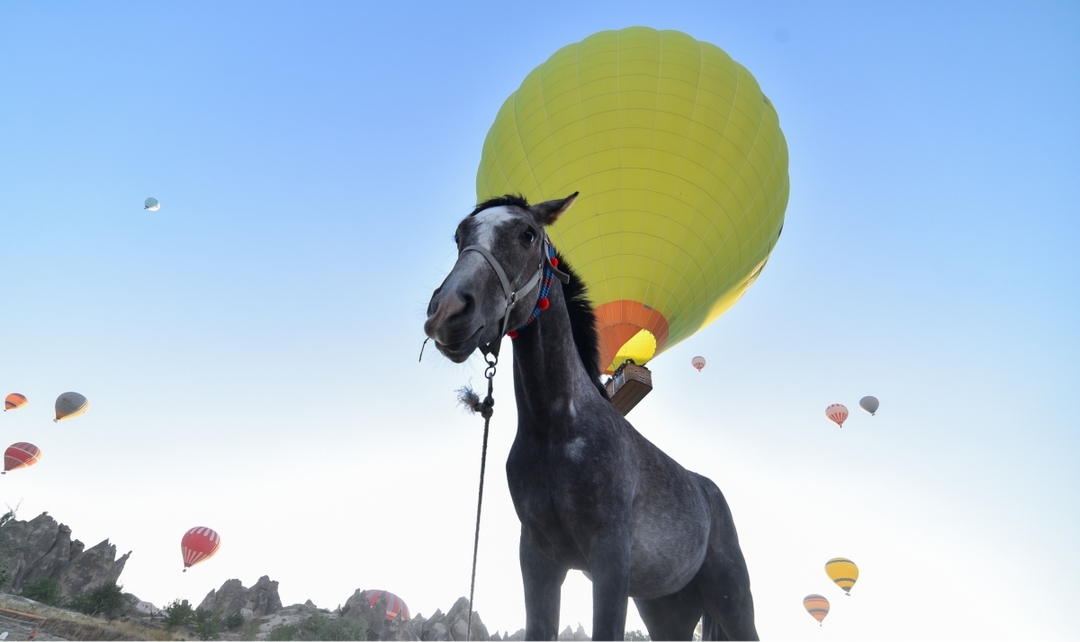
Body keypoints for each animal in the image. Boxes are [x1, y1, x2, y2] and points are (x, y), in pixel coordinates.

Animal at [424, 193, 758, 641]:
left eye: (527, 234)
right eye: (460, 236)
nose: (448, 311)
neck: (556, 431)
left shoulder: (610, 561)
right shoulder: (539, 562)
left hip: (732, 597)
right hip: (666, 610)